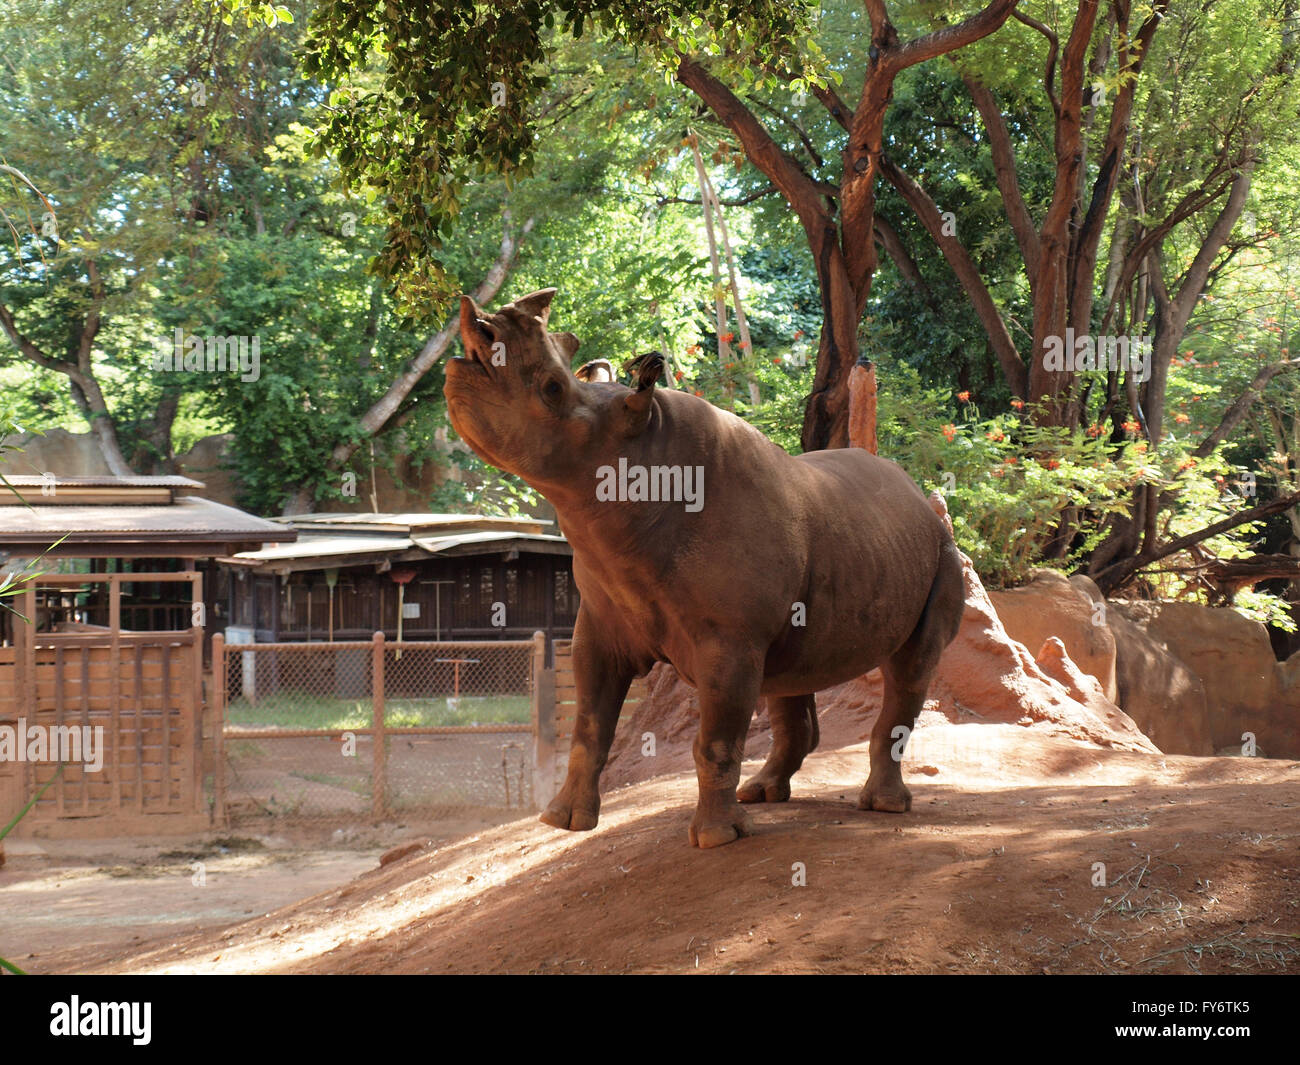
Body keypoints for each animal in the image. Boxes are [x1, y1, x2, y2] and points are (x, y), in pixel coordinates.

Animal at [447, 284, 967, 847]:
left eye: (551, 388)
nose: (476, 338)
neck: (639, 462)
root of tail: (915, 491)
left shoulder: (729, 639)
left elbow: (714, 740)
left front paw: (717, 838)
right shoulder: (601, 624)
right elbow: (589, 727)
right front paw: (562, 821)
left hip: (942, 551)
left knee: (910, 668)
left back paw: (883, 806)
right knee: (790, 673)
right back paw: (763, 794)